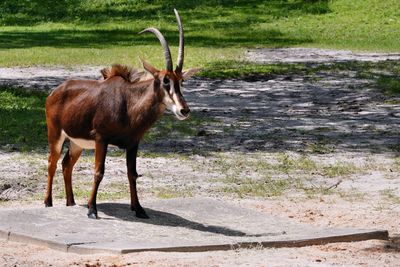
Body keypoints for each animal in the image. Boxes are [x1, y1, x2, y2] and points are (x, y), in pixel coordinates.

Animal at [44, 9, 200, 220]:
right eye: (165, 81)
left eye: (181, 81)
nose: (184, 110)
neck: (129, 104)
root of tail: (54, 92)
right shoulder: (101, 139)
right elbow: (98, 172)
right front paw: (92, 210)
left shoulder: (133, 143)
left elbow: (132, 174)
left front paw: (139, 208)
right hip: (56, 134)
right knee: (52, 163)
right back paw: (48, 202)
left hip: (77, 143)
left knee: (67, 164)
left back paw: (72, 202)